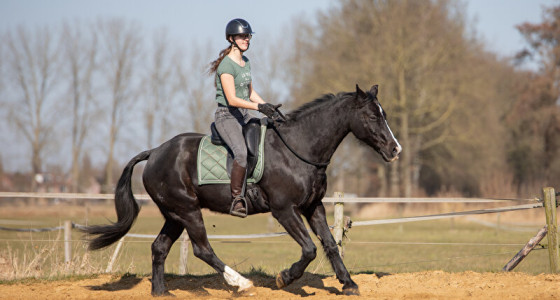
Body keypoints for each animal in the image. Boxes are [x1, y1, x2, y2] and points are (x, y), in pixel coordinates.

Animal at [83, 84, 400, 296]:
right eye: (372, 117)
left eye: (383, 114)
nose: (395, 149)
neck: (298, 149)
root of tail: (155, 152)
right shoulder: (285, 210)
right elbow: (310, 249)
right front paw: (285, 278)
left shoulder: (314, 207)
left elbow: (331, 245)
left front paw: (349, 284)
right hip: (187, 211)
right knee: (202, 249)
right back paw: (241, 283)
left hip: (175, 214)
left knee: (159, 248)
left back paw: (161, 292)